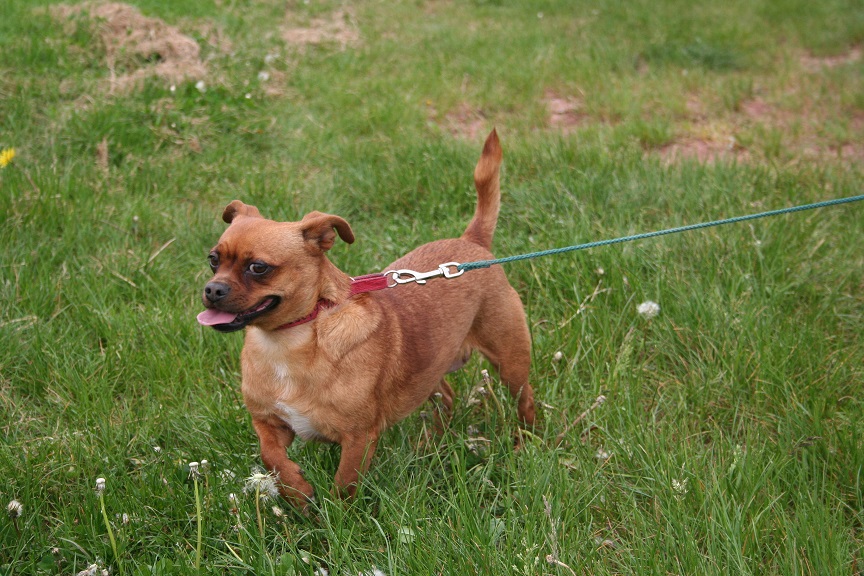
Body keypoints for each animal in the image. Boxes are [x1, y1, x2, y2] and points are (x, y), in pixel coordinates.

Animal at [197, 129, 535, 506]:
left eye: (258, 268)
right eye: (213, 260)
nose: (212, 289)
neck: (290, 342)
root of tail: (472, 243)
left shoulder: (357, 438)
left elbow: (344, 487)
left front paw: (334, 517)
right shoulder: (270, 424)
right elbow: (271, 457)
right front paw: (297, 492)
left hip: (510, 362)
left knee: (525, 400)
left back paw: (526, 443)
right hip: (430, 369)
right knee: (445, 395)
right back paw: (431, 441)